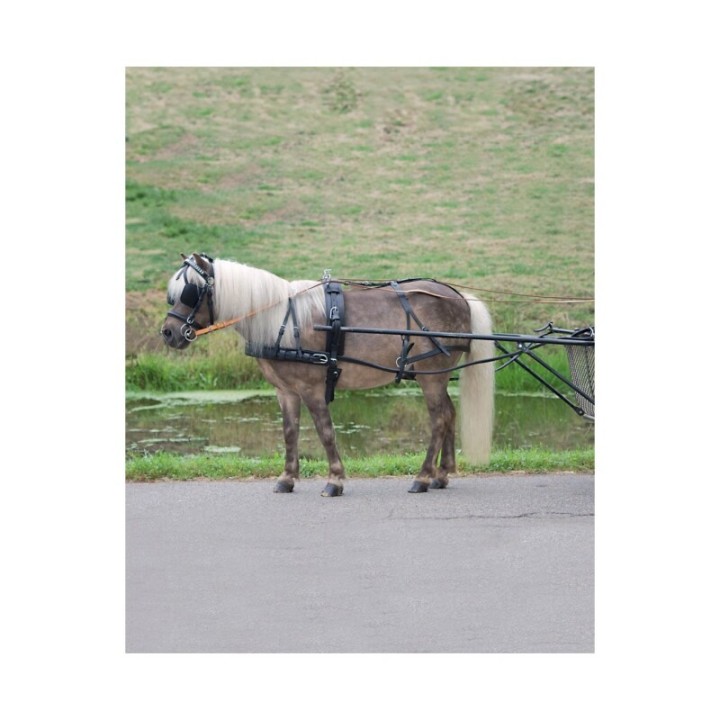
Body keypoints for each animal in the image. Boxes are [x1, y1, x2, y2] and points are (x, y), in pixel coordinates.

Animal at [161, 253, 495, 496]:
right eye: (172, 295)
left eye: (190, 292)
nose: (167, 333)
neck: (283, 321)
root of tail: (458, 296)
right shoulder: (286, 391)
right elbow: (290, 432)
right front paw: (287, 478)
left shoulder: (311, 388)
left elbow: (325, 431)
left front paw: (335, 480)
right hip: (438, 375)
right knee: (449, 415)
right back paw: (442, 474)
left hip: (430, 376)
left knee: (439, 419)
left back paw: (423, 477)